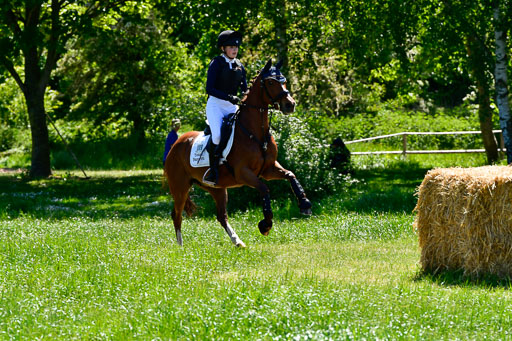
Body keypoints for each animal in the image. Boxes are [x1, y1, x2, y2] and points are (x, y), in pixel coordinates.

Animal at [164, 57, 312, 246]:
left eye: (284, 81)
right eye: (271, 82)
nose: (290, 105)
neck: (256, 134)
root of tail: (175, 145)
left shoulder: (268, 169)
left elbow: (290, 175)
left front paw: (305, 204)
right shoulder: (243, 173)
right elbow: (264, 188)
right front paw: (265, 225)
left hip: (217, 188)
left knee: (221, 216)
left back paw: (238, 242)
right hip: (180, 187)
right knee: (176, 214)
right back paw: (181, 247)